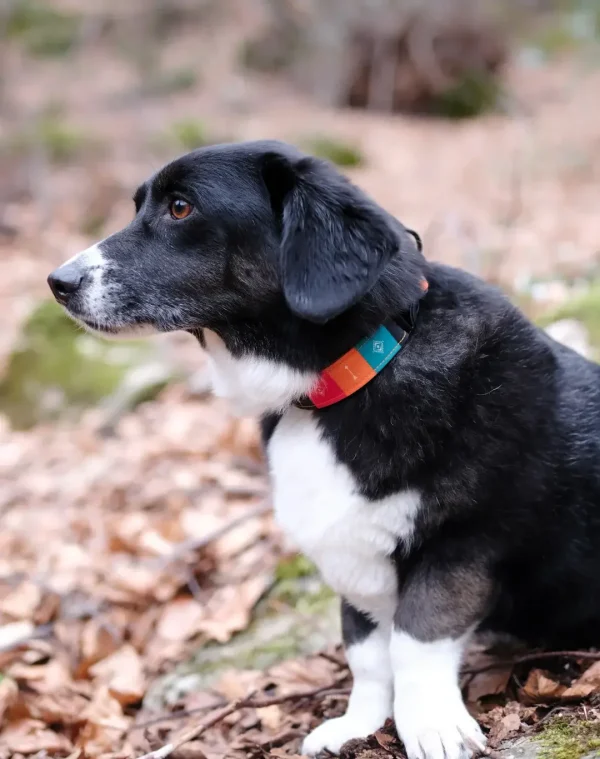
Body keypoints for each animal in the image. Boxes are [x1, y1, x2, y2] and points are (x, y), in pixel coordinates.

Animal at [47, 140, 600, 756]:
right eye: (140, 205)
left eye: (181, 208)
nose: (57, 281)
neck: (339, 380)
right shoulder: (353, 564)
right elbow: (367, 656)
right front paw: (359, 726)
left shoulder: (461, 547)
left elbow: (414, 641)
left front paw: (433, 727)